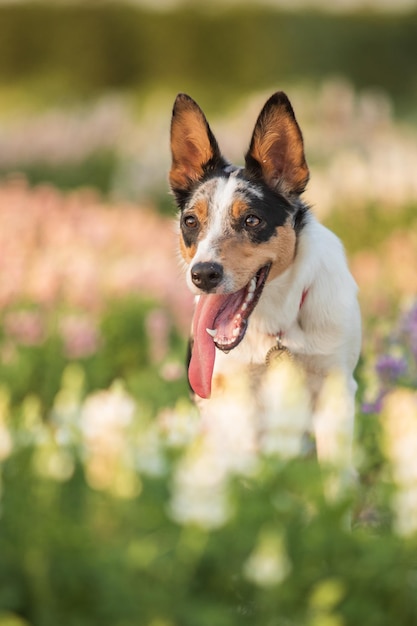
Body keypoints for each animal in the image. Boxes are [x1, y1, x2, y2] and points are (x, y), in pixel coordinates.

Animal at [169, 91, 360, 472]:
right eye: (190, 221)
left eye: (252, 220)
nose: (203, 275)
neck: (277, 322)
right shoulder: (236, 403)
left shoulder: (336, 389)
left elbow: (336, 476)